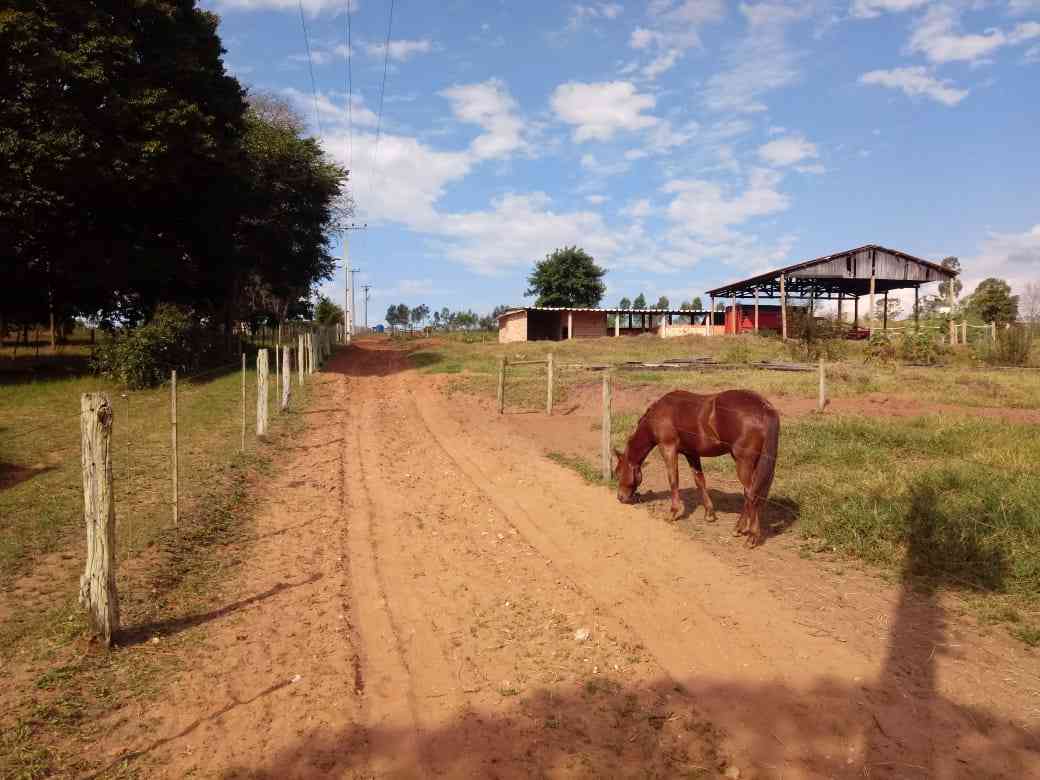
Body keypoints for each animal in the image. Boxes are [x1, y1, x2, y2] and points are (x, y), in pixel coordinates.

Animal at [607, 391, 782, 549]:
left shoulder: (668, 449)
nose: (620, 497)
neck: (658, 415)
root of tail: (765, 408)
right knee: (753, 494)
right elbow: (699, 481)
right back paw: (740, 529)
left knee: (751, 494)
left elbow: (673, 480)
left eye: (618, 473)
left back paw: (750, 536)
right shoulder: (691, 454)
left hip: (743, 463)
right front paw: (709, 514)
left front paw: (673, 513)